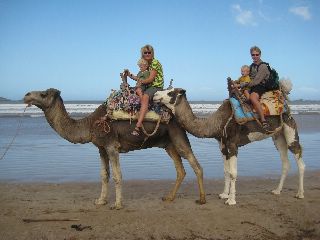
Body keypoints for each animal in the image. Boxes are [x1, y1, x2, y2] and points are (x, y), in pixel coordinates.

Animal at [23, 88, 206, 210]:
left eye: (43, 94)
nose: (26, 95)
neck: (90, 124)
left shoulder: (112, 146)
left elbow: (118, 176)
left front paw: (117, 204)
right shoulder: (101, 148)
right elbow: (104, 175)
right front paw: (100, 201)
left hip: (178, 136)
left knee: (195, 164)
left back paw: (202, 199)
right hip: (168, 144)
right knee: (180, 169)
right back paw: (169, 197)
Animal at [154, 87, 306, 204]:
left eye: (171, 92)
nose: (155, 95)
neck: (217, 123)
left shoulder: (233, 144)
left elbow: (233, 172)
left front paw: (231, 200)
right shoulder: (222, 145)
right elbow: (226, 171)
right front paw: (223, 194)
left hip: (290, 128)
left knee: (298, 156)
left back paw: (300, 194)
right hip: (277, 136)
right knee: (285, 161)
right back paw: (277, 191)